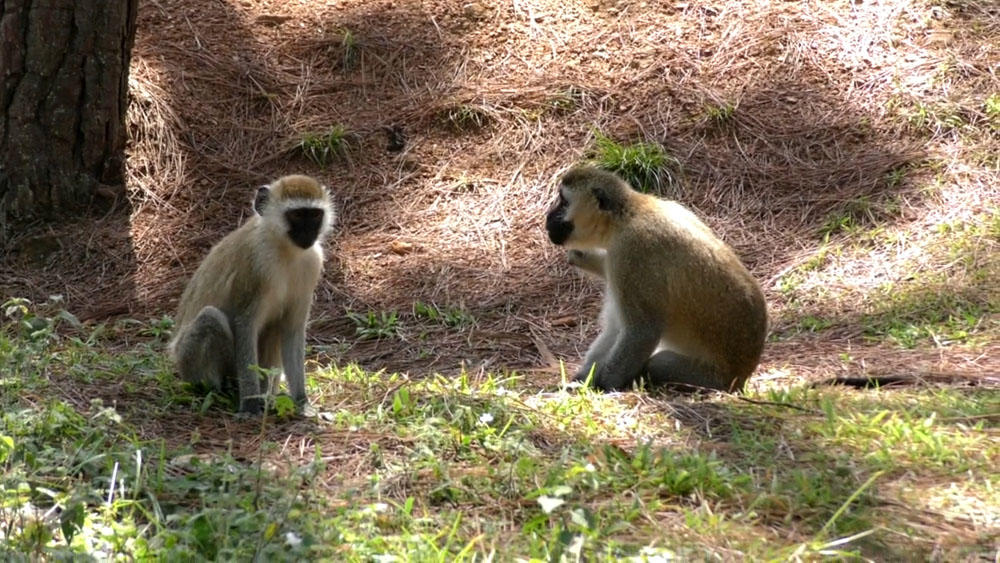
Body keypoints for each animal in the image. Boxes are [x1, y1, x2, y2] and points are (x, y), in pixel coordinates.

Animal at [168, 175, 335, 414]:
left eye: (314, 215)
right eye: (296, 215)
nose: (308, 233)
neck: (284, 249)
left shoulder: (312, 263)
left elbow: (292, 329)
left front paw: (302, 402)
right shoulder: (256, 264)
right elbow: (245, 323)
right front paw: (249, 403)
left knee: (274, 328)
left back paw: (268, 396)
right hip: (187, 360)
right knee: (210, 318)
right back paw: (224, 390)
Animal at [546, 165, 767, 393]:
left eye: (563, 202)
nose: (549, 216)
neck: (625, 217)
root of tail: (742, 374)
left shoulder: (632, 254)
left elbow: (642, 332)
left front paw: (601, 387)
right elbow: (616, 328)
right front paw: (583, 379)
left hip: (709, 376)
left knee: (656, 363)